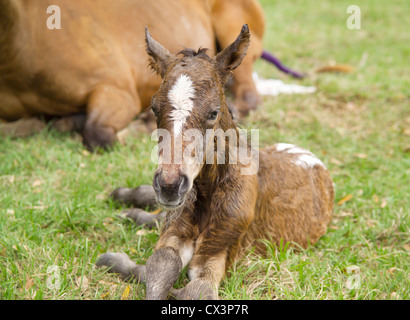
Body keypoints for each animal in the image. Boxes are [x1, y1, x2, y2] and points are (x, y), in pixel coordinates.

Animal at [96, 25, 334, 300]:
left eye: (213, 112)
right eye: (154, 108)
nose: (169, 185)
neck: (209, 193)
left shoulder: (218, 249)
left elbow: (194, 290)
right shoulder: (176, 229)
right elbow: (162, 264)